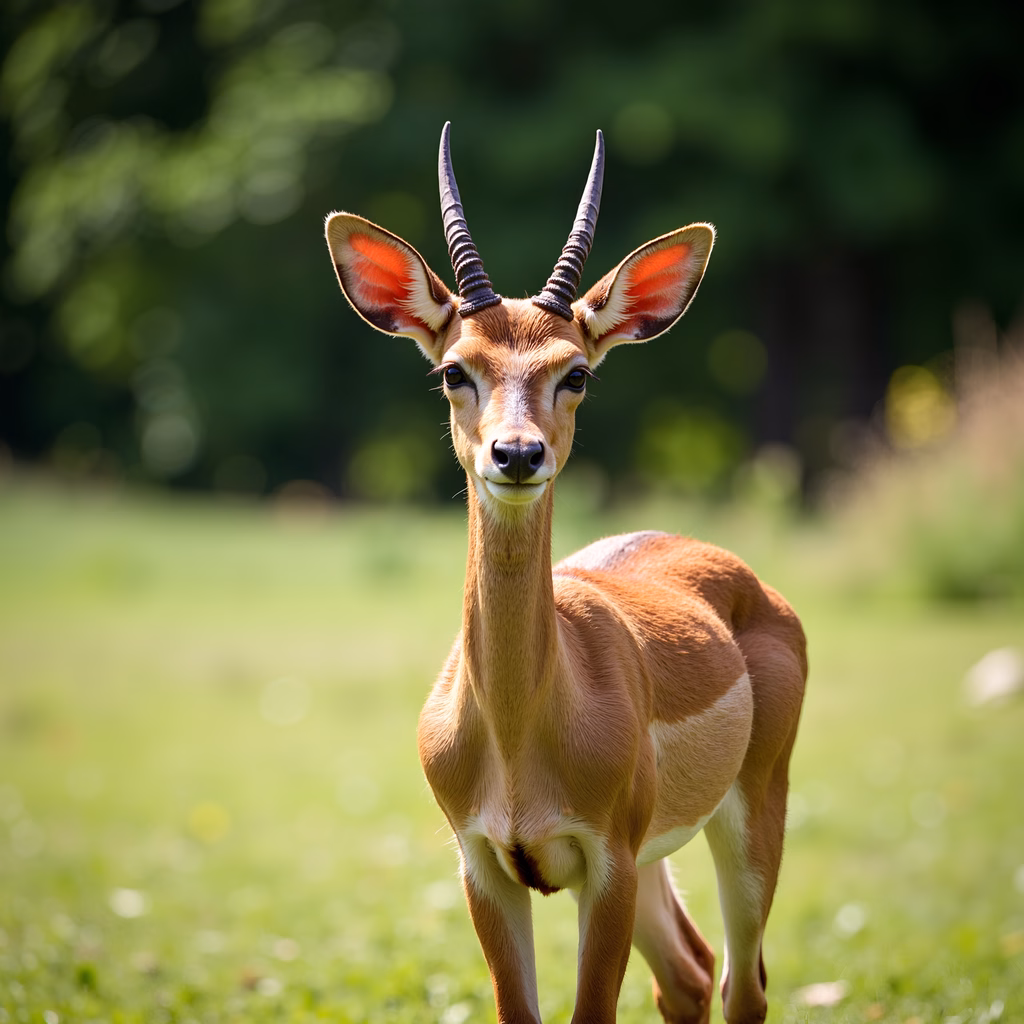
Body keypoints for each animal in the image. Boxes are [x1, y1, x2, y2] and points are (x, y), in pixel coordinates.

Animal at [325, 124, 807, 1024]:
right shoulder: (484, 865)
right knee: (688, 972)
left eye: (574, 371)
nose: (516, 454)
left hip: (752, 809)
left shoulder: (605, 862)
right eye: (455, 369)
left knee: (743, 983)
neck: (521, 739)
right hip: (659, 859)